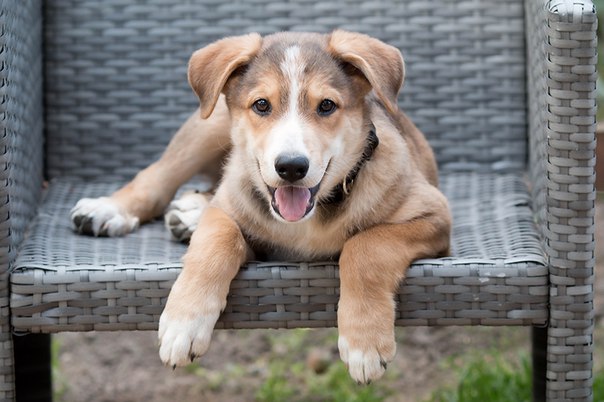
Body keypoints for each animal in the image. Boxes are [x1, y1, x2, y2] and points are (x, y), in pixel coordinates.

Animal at [70, 30, 451, 384]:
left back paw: (188, 213)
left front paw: (364, 343)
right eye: (262, 105)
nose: (292, 167)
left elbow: (365, 247)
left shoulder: (435, 214)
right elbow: (217, 241)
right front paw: (184, 324)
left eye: (327, 106)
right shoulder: (225, 211)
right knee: (158, 178)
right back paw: (108, 210)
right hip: (208, 124)